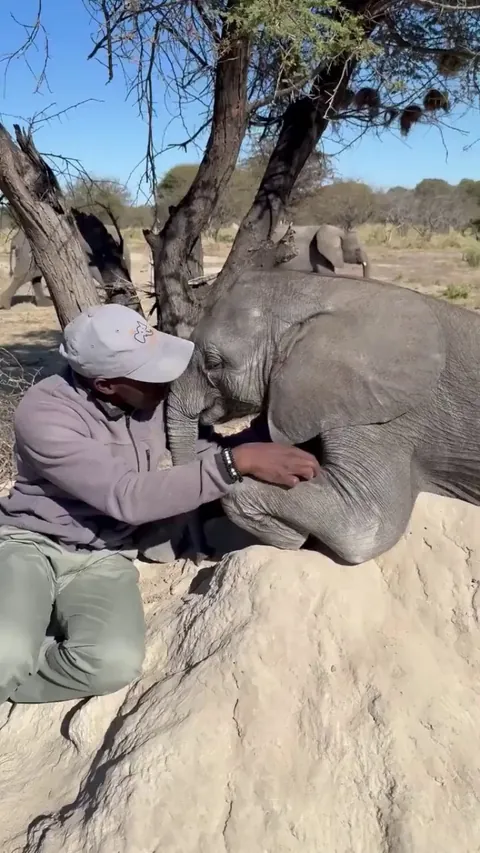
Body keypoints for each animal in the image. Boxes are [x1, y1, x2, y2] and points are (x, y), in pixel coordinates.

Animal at [0, 211, 132, 310]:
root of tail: (14, 240)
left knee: (34, 277)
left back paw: (45, 304)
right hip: (29, 252)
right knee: (25, 275)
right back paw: (5, 306)